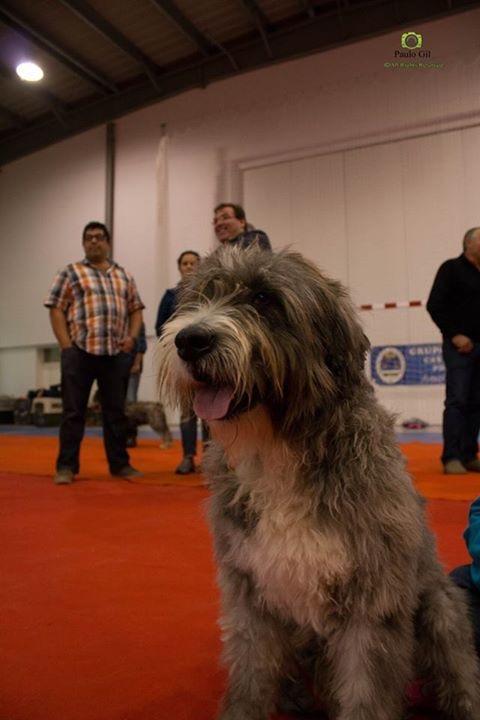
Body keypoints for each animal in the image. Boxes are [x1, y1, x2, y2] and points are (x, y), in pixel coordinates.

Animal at [158, 245, 480, 716]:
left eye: (264, 299)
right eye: (201, 296)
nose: (190, 340)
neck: (278, 451)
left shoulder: (371, 600)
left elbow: (366, 690)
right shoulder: (248, 593)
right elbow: (251, 671)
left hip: (441, 608)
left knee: (458, 669)